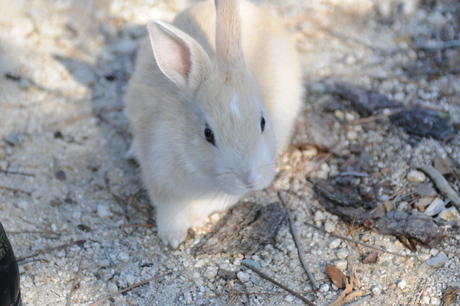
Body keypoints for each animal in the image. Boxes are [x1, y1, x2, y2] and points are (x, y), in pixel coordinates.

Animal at [123, 0, 302, 249]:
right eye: (208, 134)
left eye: (262, 121)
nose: (250, 180)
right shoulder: (160, 181)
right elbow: (169, 211)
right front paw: (172, 238)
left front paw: (188, 225)